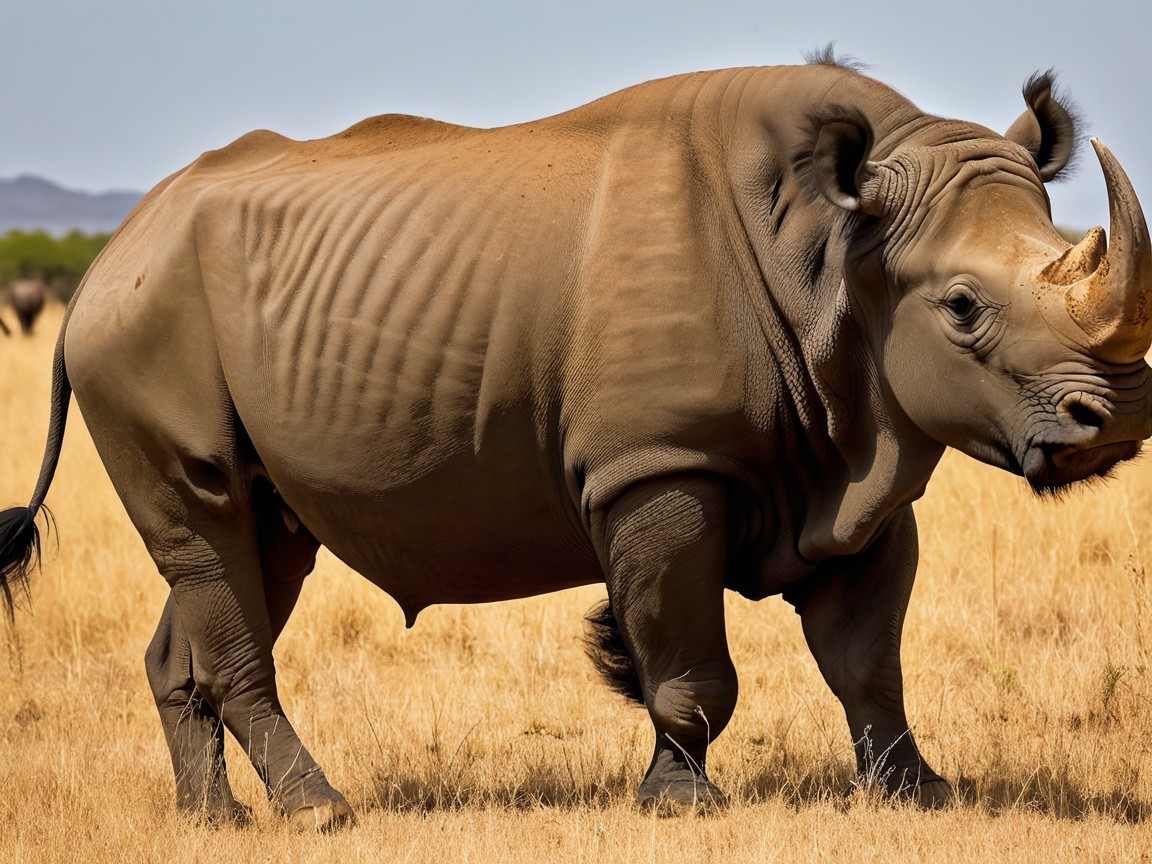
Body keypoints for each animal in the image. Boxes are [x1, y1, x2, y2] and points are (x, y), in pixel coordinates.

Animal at [2, 56, 1151, 829]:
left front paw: (922, 795)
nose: (1117, 422)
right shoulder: (658, 465)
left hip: (188, 326)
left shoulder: (855, 453)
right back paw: (319, 812)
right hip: (137, 332)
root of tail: (107, 260)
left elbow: (868, 657)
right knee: (208, 532)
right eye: (961, 307)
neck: (841, 251)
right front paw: (680, 805)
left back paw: (215, 822)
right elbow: (686, 660)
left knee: (253, 547)